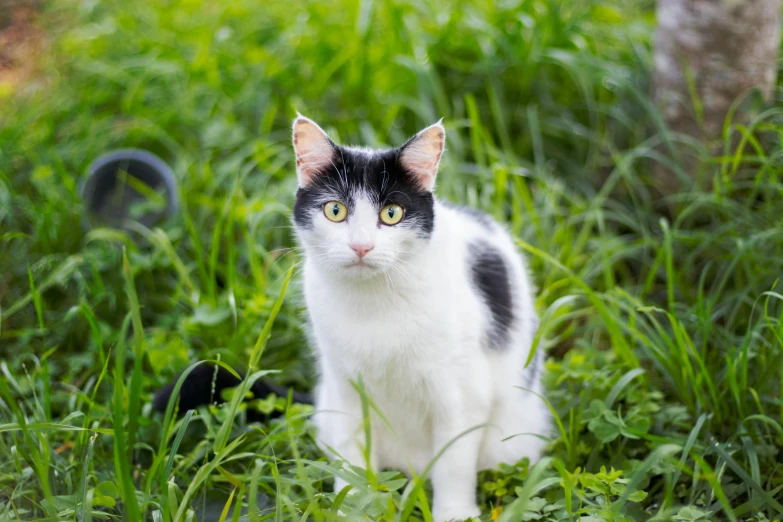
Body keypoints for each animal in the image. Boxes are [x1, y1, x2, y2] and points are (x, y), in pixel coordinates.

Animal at [290, 116, 548, 516]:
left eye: (391, 214)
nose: (361, 246)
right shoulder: (345, 389)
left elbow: (454, 463)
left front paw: (455, 514)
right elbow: (350, 457)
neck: (374, 302)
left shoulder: (462, 394)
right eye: (335, 210)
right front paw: (351, 507)